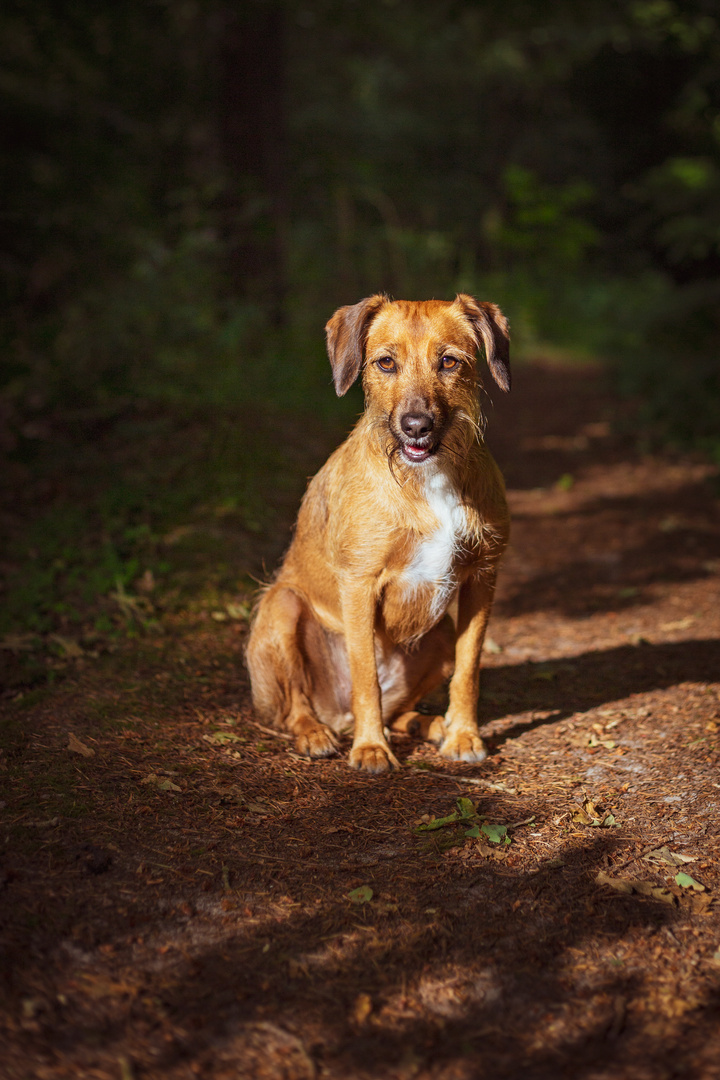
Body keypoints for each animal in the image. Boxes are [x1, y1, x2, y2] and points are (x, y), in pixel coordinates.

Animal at [248, 291, 511, 773]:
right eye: (385, 363)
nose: (416, 425)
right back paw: (317, 733)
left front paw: (464, 736)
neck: (426, 476)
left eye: (449, 361)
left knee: (399, 712)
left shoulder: (483, 577)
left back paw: (430, 724)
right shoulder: (359, 583)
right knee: (297, 706)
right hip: (281, 605)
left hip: (440, 633)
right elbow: (365, 674)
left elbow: (469, 669)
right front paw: (371, 749)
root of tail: (338, 716)